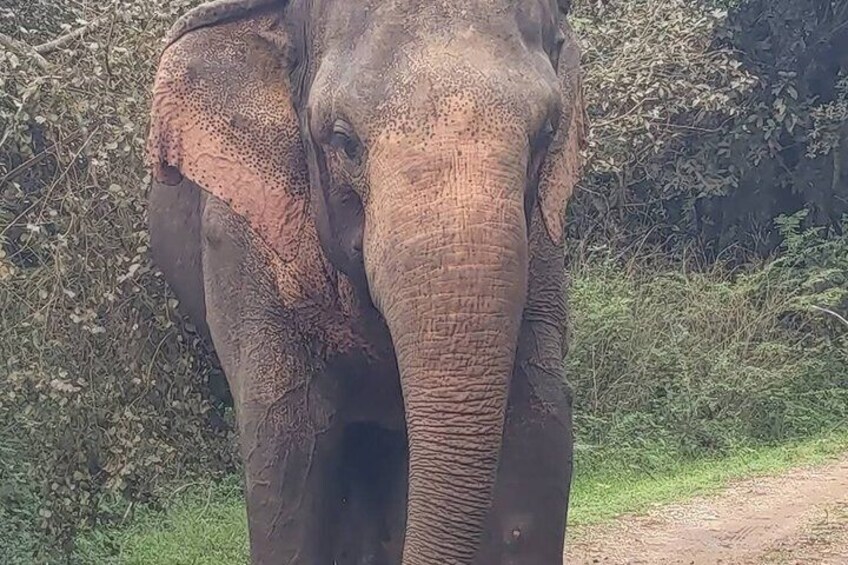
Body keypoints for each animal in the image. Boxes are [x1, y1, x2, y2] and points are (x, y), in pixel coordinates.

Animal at [145, 0, 586, 563]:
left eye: (547, 133)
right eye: (343, 140)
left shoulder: (542, 242)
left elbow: (539, 424)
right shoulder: (243, 243)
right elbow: (288, 454)